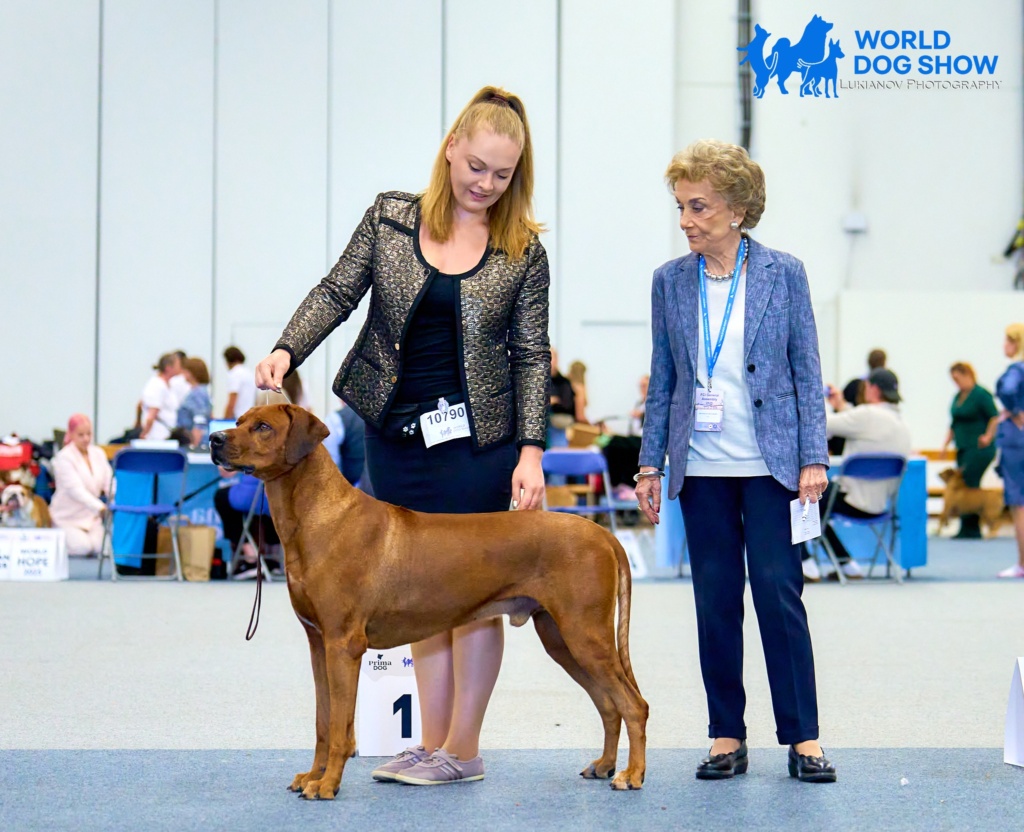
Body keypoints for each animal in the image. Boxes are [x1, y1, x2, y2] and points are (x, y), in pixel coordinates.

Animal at [209, 405, 648, 799]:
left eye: (263, 426)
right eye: (239, 420)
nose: (214, 439)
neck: (318, 515)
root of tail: (602, 533)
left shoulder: (343, 645)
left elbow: (339, 728)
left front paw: (328, 784)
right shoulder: (319, 643)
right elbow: (323, 720)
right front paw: (312, 776)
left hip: (585, 633)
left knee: (633, 705)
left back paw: (631, 775)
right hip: (560, 637)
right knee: (609, 705)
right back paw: (605, 764)